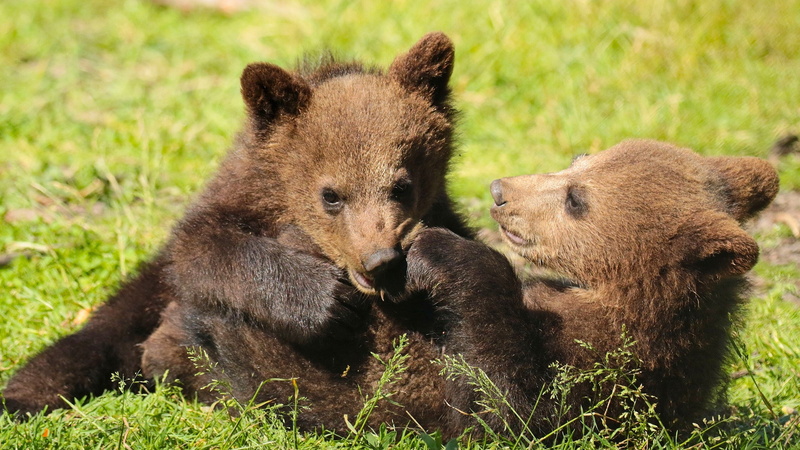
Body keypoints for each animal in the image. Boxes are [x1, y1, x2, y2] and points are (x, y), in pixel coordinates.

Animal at [1, 33, 476, 423]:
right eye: (331, 194)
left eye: (402, 185)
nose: (380, 260)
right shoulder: (231, 201)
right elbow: (203, 251)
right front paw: (324, 300)